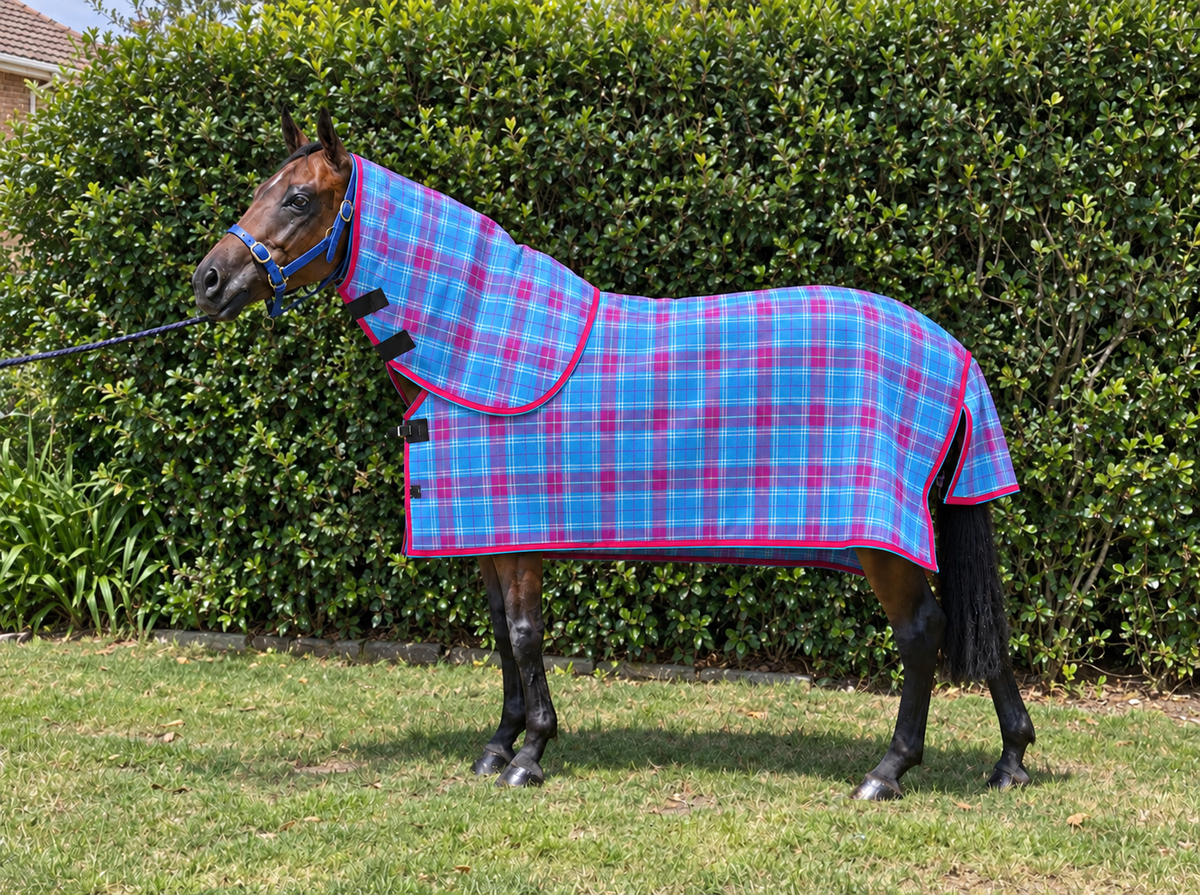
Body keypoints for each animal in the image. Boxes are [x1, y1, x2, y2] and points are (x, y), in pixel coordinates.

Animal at [191, 109, 1035, 799]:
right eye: (265, 189)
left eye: (298, 199)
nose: (209, 280)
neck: (477, 347)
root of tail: (953, 351)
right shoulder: (491, 535)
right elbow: (502, 638)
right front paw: (498, 746)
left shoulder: (521, 538)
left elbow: (525, 636)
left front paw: (532, 753)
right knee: (976, 629)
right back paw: (1012, 760)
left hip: (882, 543)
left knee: (922, 633)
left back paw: (888, 770)